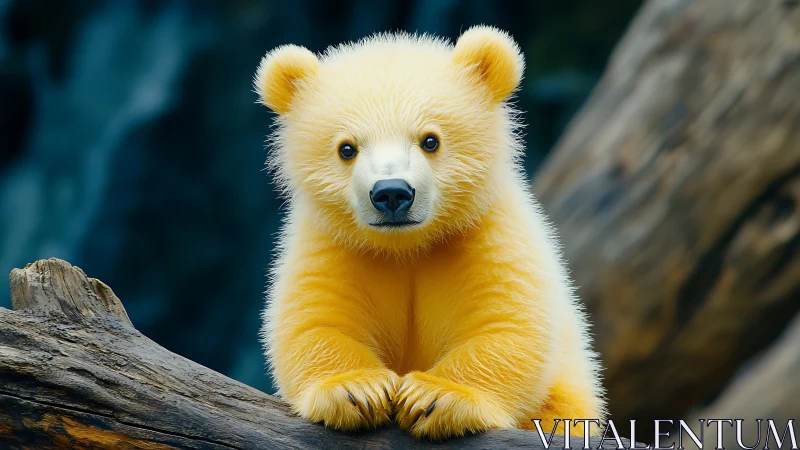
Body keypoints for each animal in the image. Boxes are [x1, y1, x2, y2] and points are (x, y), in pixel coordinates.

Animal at [254, 26, 606, 440]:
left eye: (430, 140)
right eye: (346, 148)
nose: (391, 193)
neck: (407, 245)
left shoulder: (483, 230)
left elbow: (504, 321)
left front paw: (434, 398)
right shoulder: (336, 242)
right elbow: (317, 319)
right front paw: (356, 391)